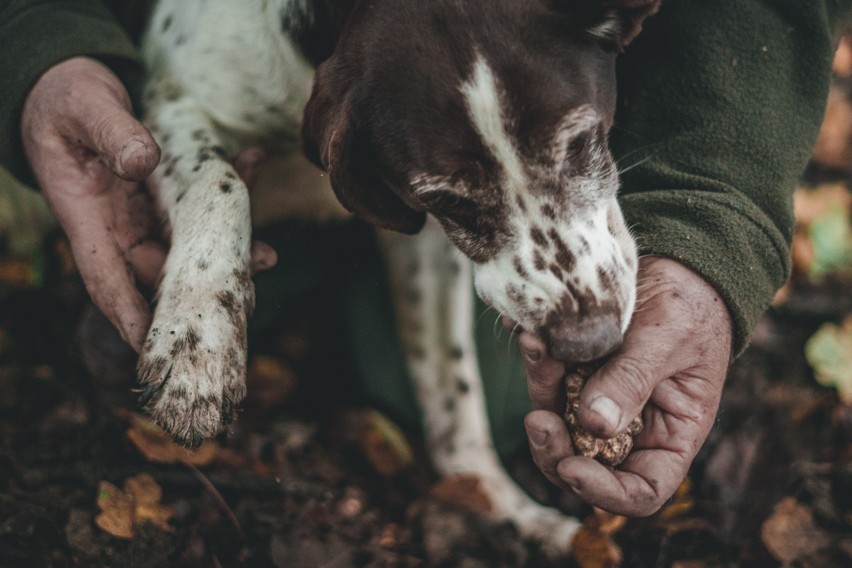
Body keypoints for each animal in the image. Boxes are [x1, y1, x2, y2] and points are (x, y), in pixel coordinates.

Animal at [138, 0, 660, 556]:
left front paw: (498, 505)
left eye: (580, 143)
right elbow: (220, 181)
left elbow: (452, 390)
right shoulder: (173, 103)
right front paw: (197, 344)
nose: (590, 341)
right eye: (447, 198)